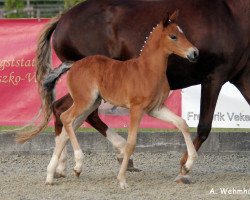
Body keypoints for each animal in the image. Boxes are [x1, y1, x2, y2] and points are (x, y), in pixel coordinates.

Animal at [44, 11, 198, 188]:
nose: (194, 53)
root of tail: (73, 65)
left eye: (183, 33)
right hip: (84, 101)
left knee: (65, 131)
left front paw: (187, 165)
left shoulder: (156, 108)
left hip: (91, 104)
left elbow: (182, 123)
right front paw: (122, 180)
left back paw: (52, 174)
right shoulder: (136, 109)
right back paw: (77, 163)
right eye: (173, 36)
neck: (148, 70)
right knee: (66, 118)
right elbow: (131, 143)